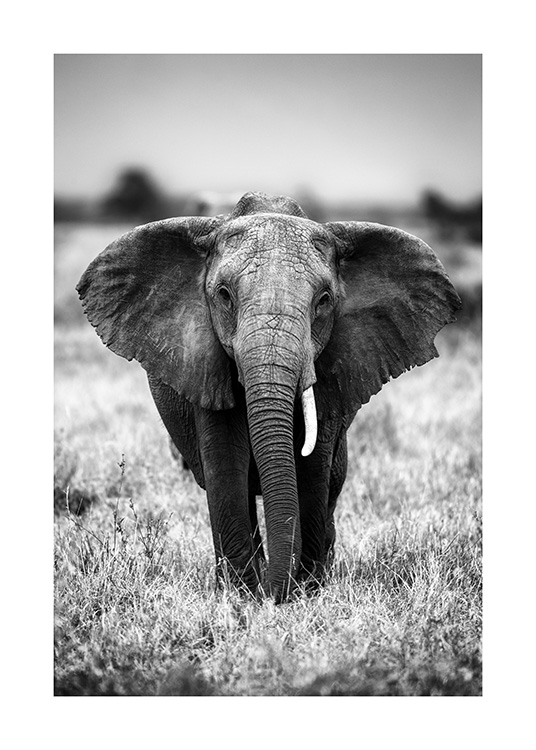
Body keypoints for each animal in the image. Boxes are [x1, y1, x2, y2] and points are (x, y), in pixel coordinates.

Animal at [77, 191, 461, 603]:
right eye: (224, 296)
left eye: (323, 300)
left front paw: (305, 592)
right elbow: (225, 464)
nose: (276, 594)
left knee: (332, 486)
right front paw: (242, 596)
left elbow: (312, 469)